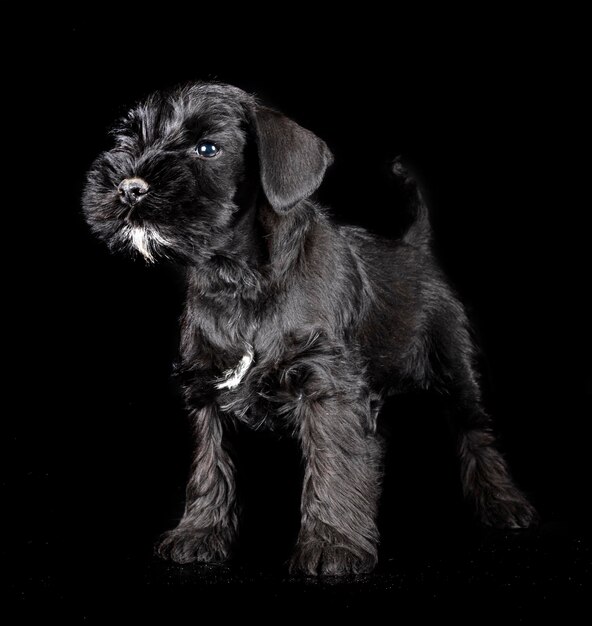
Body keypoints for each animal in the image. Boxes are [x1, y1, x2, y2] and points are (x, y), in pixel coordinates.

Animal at [82, 83, 536, 576]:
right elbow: (210, 467)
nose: (129, 187)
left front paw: (333, 545)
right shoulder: (207, 390)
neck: (237, 280)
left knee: (477, 433)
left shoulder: (326, 387)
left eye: (207, 148)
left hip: (454, 368)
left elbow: (334, 462)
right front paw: (198, 534)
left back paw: (504, 504)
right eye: (131, 138)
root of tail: (415, 248)